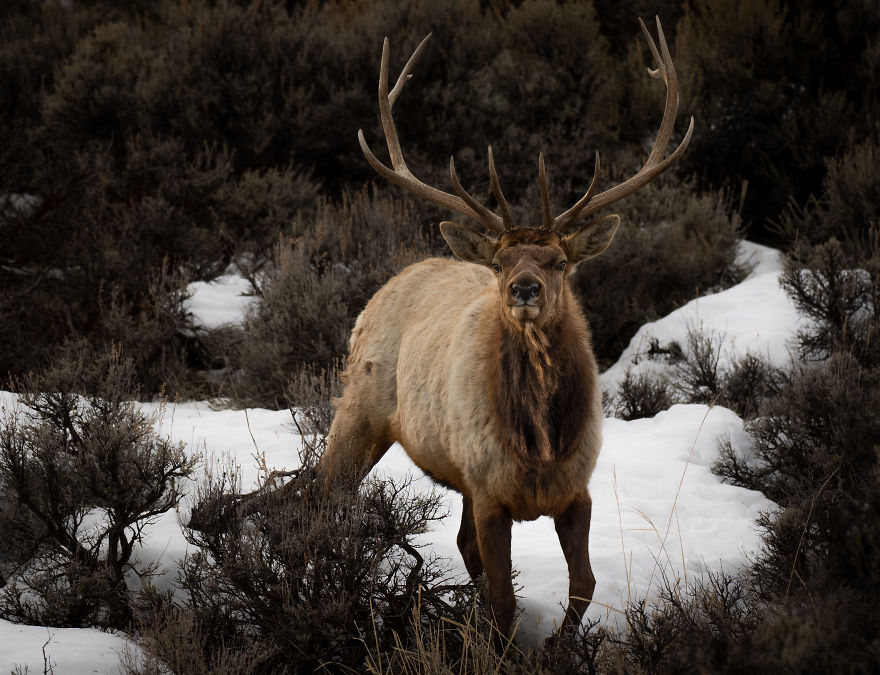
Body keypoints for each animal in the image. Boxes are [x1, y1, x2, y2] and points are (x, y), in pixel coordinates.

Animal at [317, 17, 693, 637]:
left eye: (560, 262)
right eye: (499, 263)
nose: (523, 289)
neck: (539, 449)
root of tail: (381, 292)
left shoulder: (576, 488)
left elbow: (583, 585)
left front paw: (558, 646)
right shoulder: (490, 489)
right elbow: (501, 599)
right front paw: (509, 643)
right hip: (360, 410)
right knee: (321, 499)